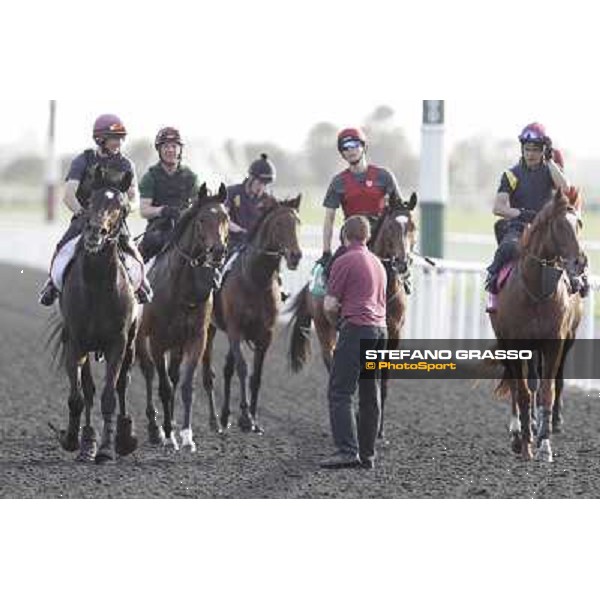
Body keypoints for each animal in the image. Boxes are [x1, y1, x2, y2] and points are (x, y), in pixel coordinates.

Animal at [48, 168, 140, 464]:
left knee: (122, 385)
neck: (98, 283)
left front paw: (108, 449)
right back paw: (87, 442)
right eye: (89, 201)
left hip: (131, 343)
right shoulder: (75, 342)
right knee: (87, 391)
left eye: (121, 207)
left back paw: (124, 437)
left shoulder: (117, 343)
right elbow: (78, 396)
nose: (95, 232)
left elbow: (110, 395)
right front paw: (73, 440)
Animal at [137, 183, 230, 450]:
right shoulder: (157, 342)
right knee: (147, 373)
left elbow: (186, 386)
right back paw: (155, 428)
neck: (181, 290)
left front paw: (187, 436)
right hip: (139, 340)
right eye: (201, 219)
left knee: (174, 376)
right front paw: (168, 434)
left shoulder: (195, 338)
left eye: (226, 218)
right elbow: (164, 387)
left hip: (178, 344)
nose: (218, 251)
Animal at [203, 195, 304, 434]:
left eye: (298, 223)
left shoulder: (265, 335)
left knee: (227, 369)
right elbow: (243, 368)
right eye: (279, 224)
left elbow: (256, 376)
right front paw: (246, 416)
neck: (256, 280)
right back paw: (215, 419)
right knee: (210, 372)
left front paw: (255, 419)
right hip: (210, 328)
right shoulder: (235, 330)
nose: (295, 255)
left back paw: (224, 416)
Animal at [286, 195, 418, 438]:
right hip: (324, 328)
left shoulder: (393, 334)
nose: (402, 262)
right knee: (331, 362)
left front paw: (379, 429)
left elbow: (383, 382)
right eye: (391, 227)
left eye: (413, 226)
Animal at [488, 190, 584, 462]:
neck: (536, 291)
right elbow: (522, 392)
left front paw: (544, 445)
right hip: (507, 343)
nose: (580, 263)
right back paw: (517, 432)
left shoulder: (554, 344)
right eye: (560, 225)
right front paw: (525, 444)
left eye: (580, 223)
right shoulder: (515, 344)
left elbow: (546, 391)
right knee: (516, 383)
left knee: (545, 382)